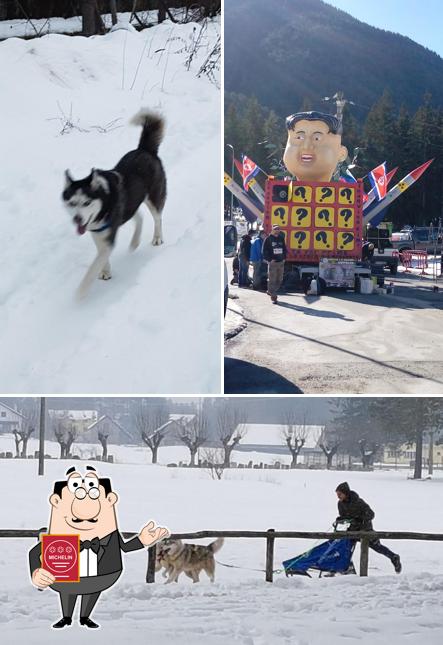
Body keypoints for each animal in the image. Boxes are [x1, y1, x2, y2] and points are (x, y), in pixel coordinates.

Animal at [62, 110, 166, 300]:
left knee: (157, 218)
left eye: (87, 202)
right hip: (130, 204)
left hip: (154, 197)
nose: (77, 219)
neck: (104, 200)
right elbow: (101, 256)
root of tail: (144, 149)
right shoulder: (98, 232)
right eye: (73, 203)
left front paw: (81, 291)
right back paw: (134, 242)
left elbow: (94, 265)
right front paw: (105, 271)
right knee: (138, 216)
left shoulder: (107, 235)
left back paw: (157, 237)